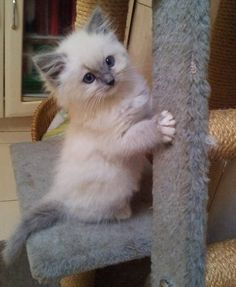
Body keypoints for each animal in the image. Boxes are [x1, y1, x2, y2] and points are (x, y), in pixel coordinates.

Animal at [1, 7, 175, 266]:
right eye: (89, 79)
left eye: (109, 62)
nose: (111, 81)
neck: (117, 98)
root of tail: (62, 198)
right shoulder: (119, 139)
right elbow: (142, 130)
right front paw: (163, 127)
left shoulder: (144, 106)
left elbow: (148, 112)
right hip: (115, 188)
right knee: (96, 216)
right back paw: (124, 211)